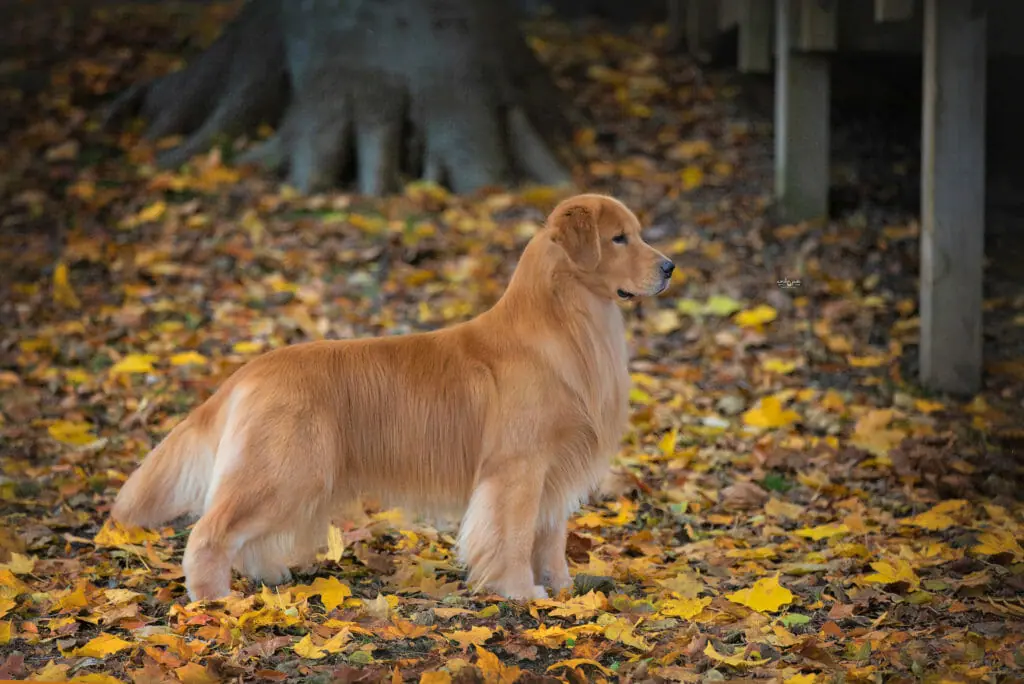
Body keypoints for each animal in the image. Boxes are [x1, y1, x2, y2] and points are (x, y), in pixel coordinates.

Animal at [110, 192, 671, 597]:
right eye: (619, 238)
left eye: (638, 234)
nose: (669, 267)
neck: (565, 324)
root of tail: (248, 371)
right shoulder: (518, 468)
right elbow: (510, 538)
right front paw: (519, 592)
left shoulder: (554, 472)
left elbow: (549, 538)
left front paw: (564, 590)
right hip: (285, 470)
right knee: (208, 532)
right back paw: (214, 601)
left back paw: (269, 577)